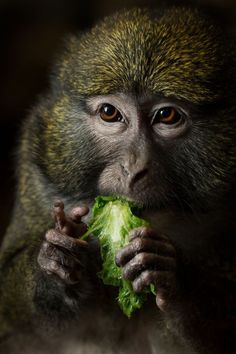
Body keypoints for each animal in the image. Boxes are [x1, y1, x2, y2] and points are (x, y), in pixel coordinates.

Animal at [0, 4, 235, 354]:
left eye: (167, 116)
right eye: (110, 113)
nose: (133, 168)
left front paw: (174, 279)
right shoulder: (37, 169)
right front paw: (56, 264)